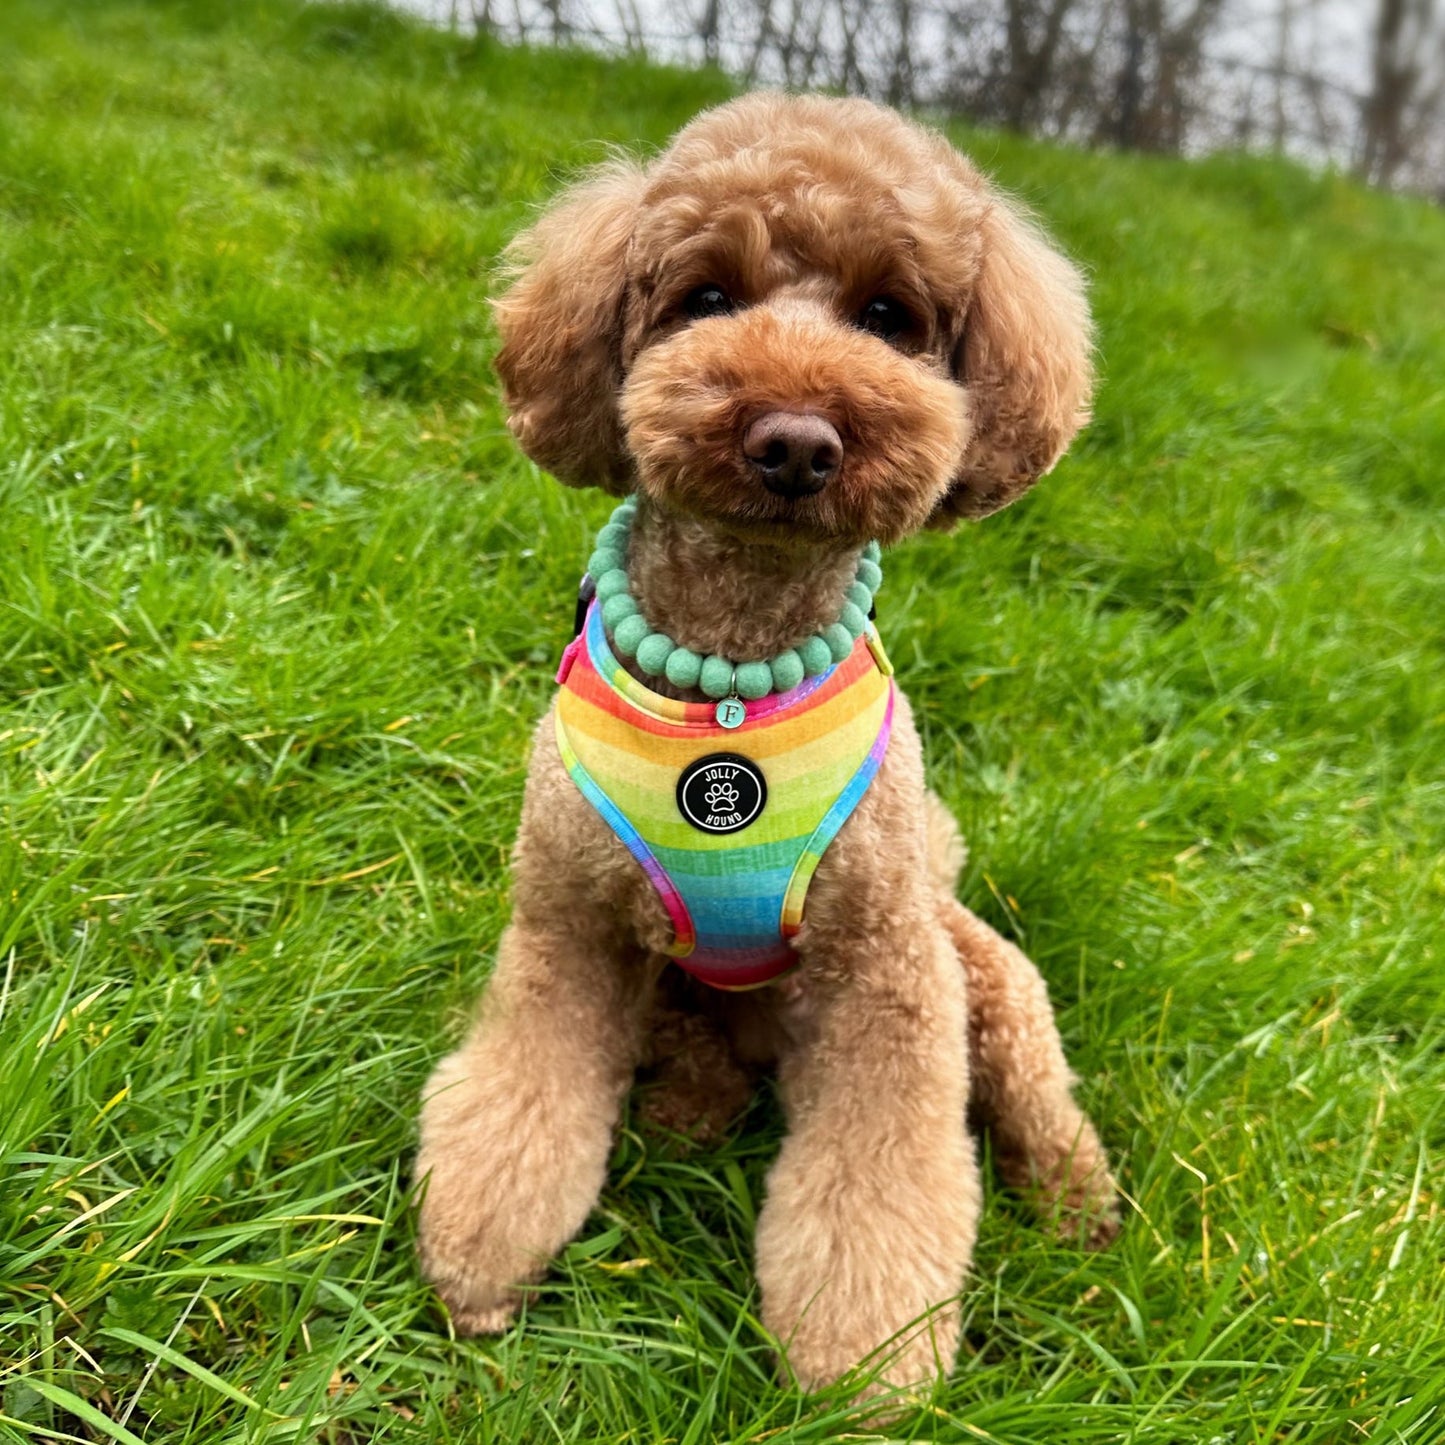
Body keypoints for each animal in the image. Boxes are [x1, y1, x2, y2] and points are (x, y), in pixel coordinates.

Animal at [416, 93, 1115, 1398]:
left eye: (888, 317)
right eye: (704, 297)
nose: (794, 439)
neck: (733, 674)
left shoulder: (886, 973)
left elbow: (880, 1178)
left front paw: (863, 1363)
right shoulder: (567, 926)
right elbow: (521, 1097)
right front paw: (481, 1258)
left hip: (977, 971)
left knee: (1039, 1095)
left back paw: (1076, 1201)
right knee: (702, 1058)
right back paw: (686, 1109)